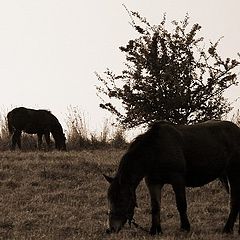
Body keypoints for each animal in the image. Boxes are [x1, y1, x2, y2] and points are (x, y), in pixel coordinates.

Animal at [104, 120, 240, 234]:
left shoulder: (177, 180)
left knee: (233, 200)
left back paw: (227, 229)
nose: (111, 229)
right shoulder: (153, 183)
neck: (155, 150)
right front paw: (155, 230)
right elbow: (155, 206)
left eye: (121, 199)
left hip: (233, 174)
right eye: (109, 198)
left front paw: (185, 228)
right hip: (224, 176)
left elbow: (181, 204)